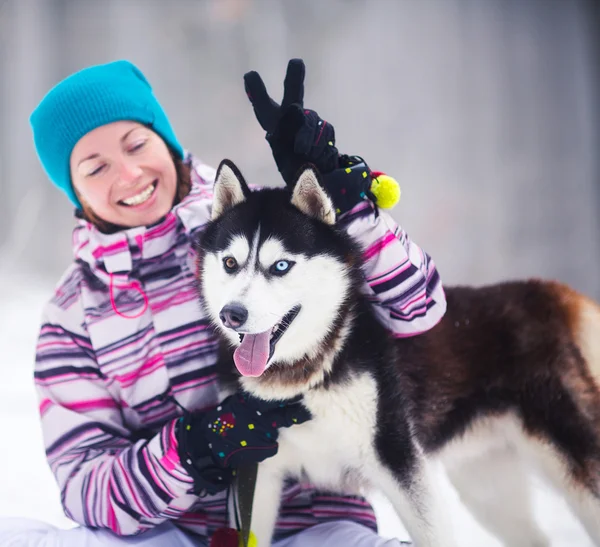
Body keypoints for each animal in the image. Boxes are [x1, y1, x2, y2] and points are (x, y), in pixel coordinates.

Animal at [196, 159, 600, 547]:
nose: (232, 314)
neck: (308, 374)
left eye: (280, 265)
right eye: (230, 263)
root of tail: (546, 292)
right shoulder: (257, 472)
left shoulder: (398, 460)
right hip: (486, 485)